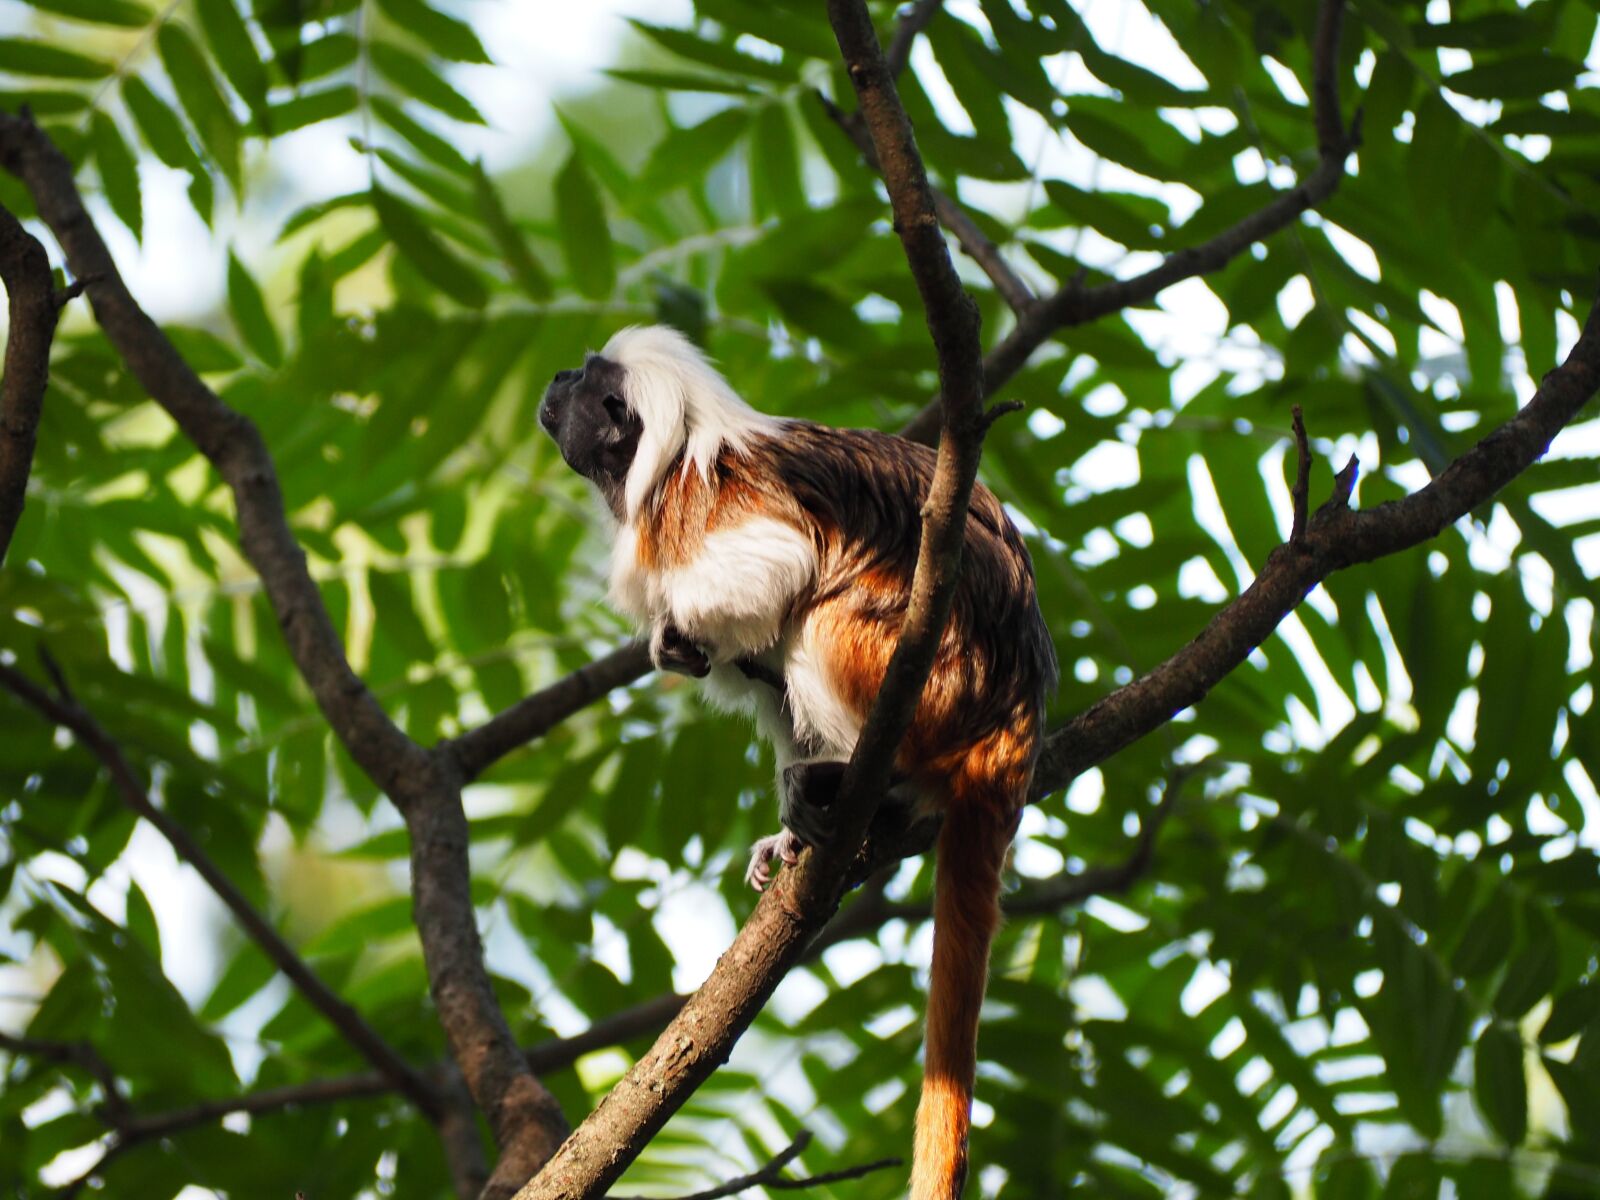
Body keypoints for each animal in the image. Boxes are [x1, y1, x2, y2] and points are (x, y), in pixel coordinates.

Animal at [539, 326, 1057, 1200]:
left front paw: (675, 634)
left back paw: (864, 782)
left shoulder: (699, 505)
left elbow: (775, 567)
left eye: (582, 378)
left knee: (815, 616)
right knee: (772, 667)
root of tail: (1015, 723)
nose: (554, 377)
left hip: (929, 680)